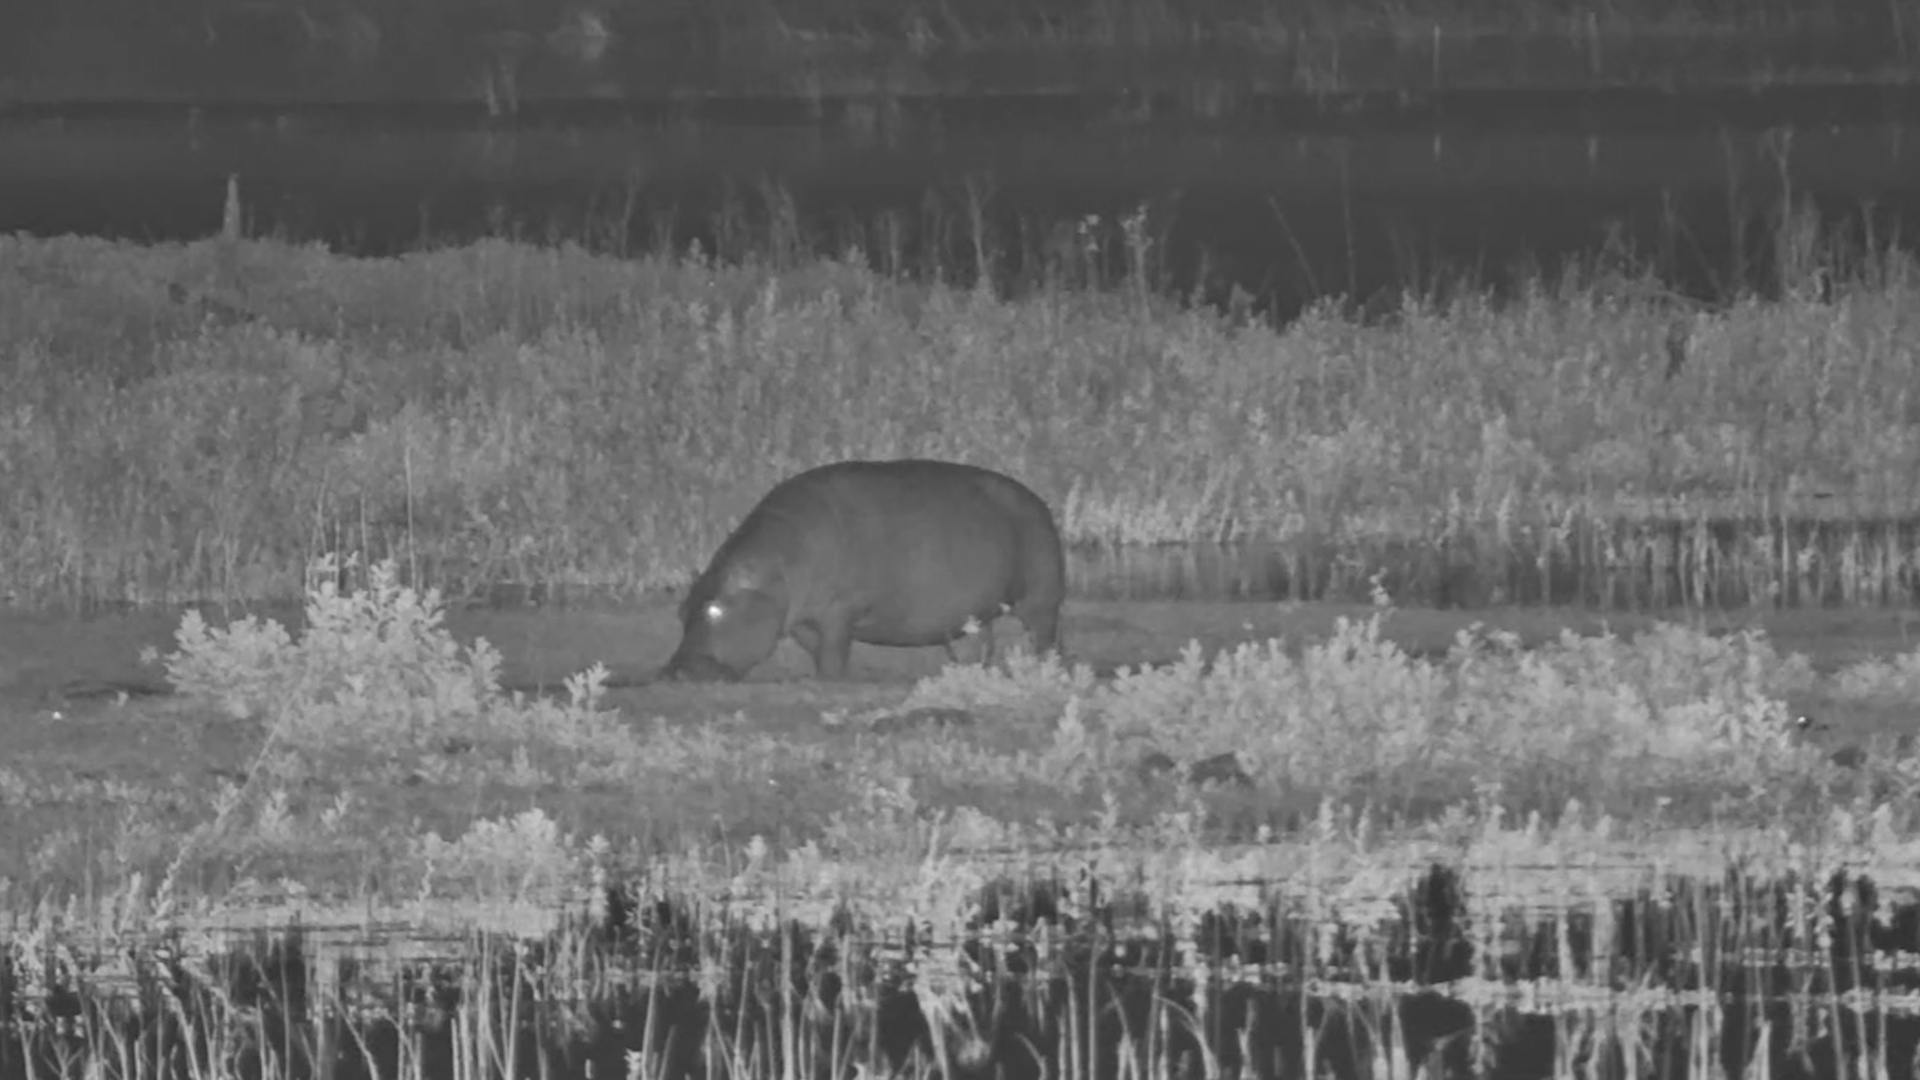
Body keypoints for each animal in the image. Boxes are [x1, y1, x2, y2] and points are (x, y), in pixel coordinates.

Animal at [662, 460, 1067, 681]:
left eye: (715, 609)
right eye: (681, 611)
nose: (676, 671)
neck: (774, 569)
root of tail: (1039, 502)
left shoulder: (840, 611)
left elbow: (833, 652)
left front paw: (831, 680)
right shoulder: (802, 619)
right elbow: (818, 651)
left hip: (1041, 598)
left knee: (1044, 638)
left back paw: (1040, 668)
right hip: (972, 615)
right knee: (978, 645)